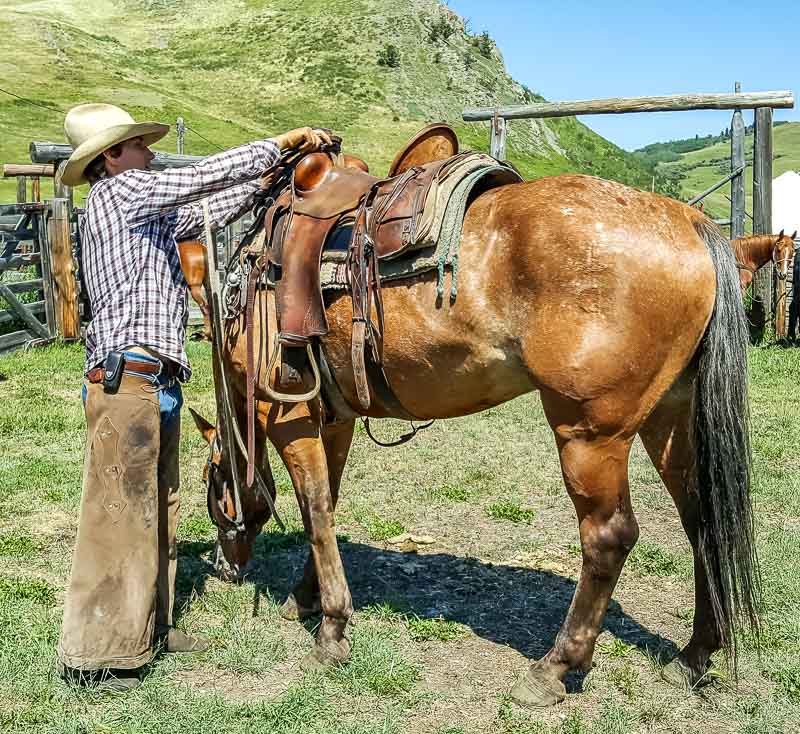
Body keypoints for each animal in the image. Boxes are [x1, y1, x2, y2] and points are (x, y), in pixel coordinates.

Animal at [192, 170, 756, 712]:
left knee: (609, 538)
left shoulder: (285, 414)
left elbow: (313, 510)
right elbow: (327, 505)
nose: (222, 567)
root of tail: (688, 222)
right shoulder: (334, 419)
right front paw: (305, 597)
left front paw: (331, 630)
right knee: (702, 521)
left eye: (211, 484)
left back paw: (553, 668)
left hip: (590, 435)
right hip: (669, 421)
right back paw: (694, 655)